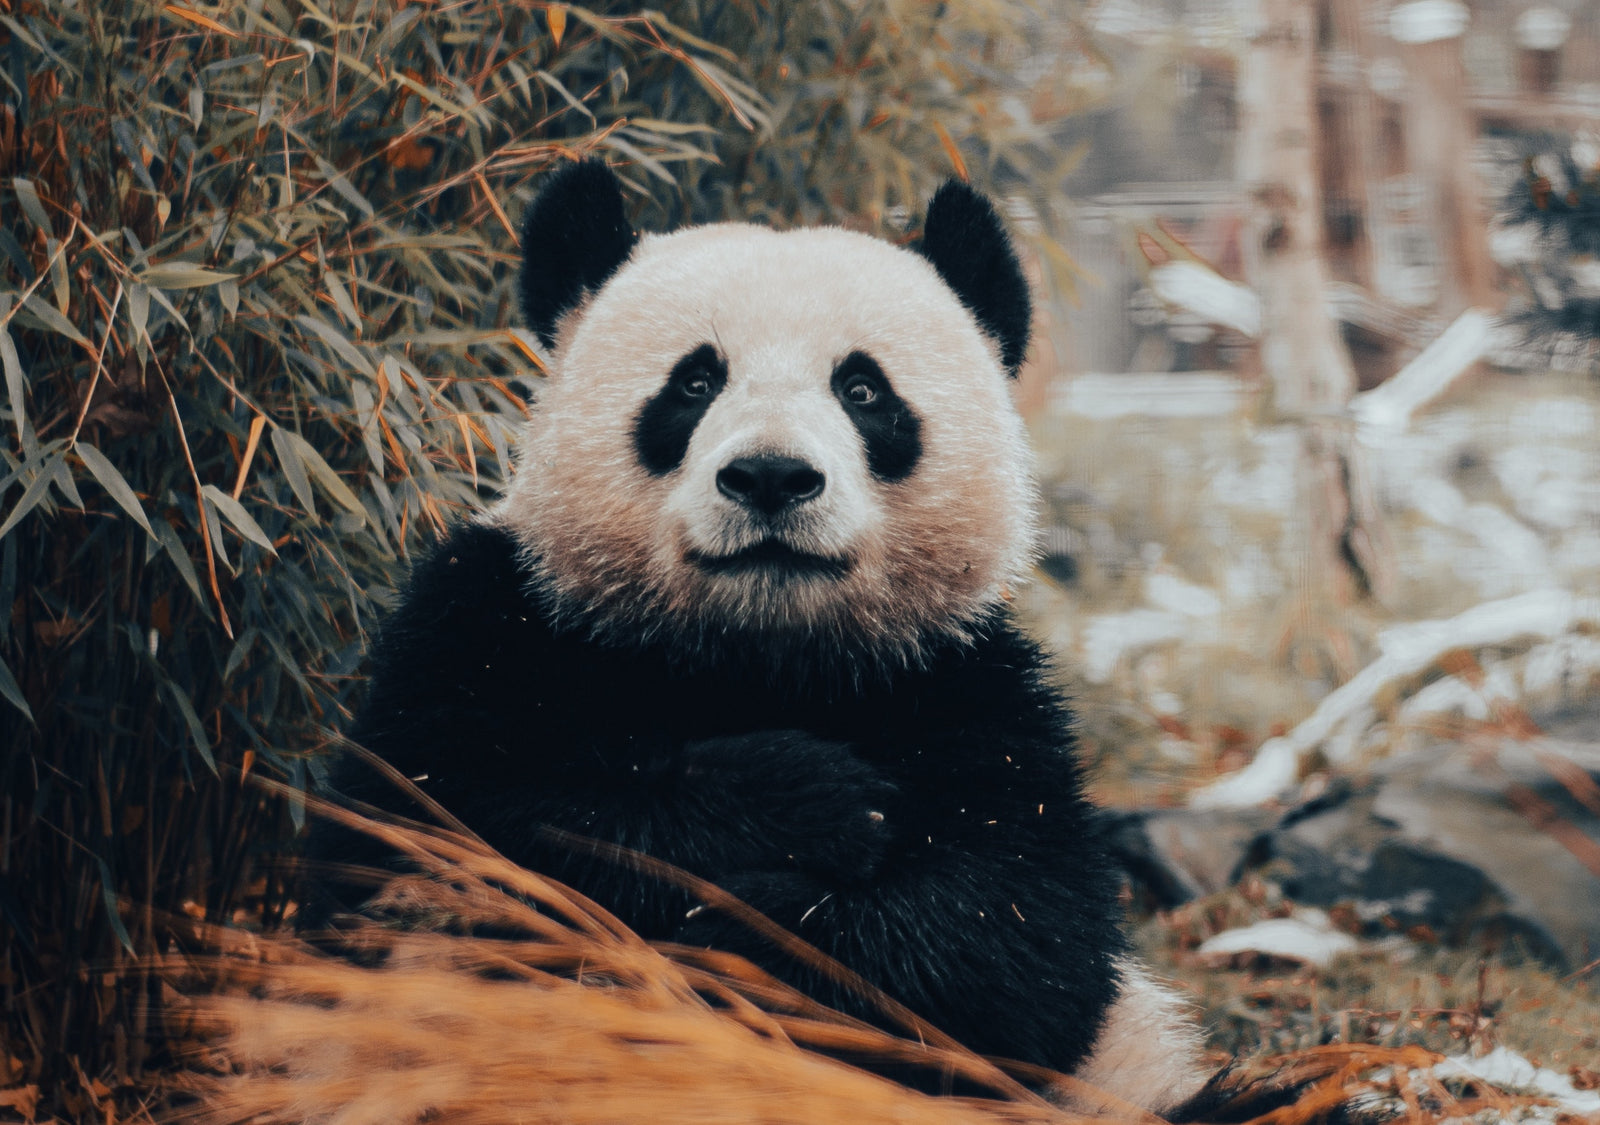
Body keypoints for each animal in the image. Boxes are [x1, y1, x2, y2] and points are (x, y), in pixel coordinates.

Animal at [314, 159, 1208, 1114]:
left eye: (863, 390)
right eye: (694, 382)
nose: (772, 476)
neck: (756, 650)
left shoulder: (966, 685)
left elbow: (1013, 937)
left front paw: (765, 927)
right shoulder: (495, 622)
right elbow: (443, 837)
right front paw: (809, 797)